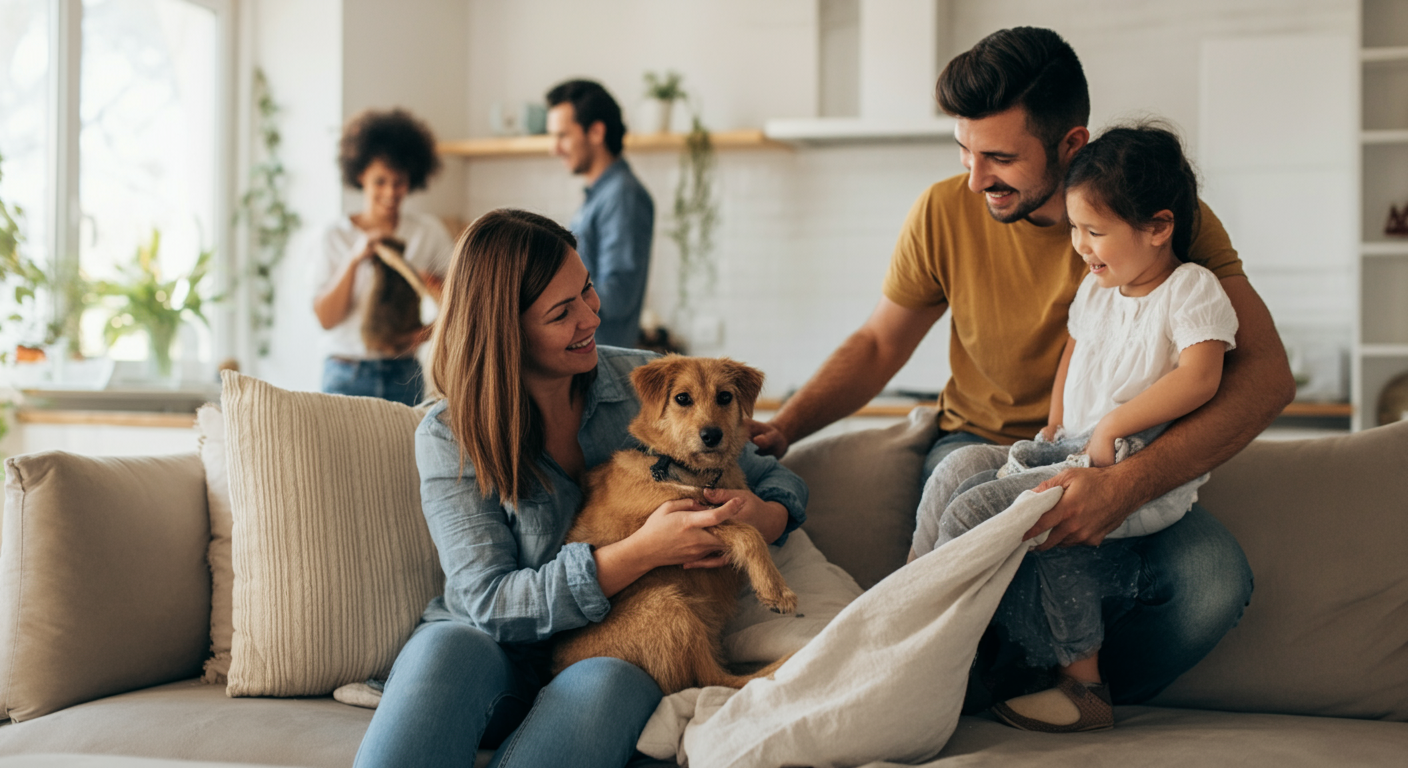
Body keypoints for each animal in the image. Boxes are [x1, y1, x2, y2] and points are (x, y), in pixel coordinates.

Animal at [551, 356, 799, 690]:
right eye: (682, 398)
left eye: (725, 396)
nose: (711, 435)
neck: (682, 468)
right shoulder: (684, 518)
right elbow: (749, 533)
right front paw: (776, 590)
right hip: (668, 605)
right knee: (712, 678)